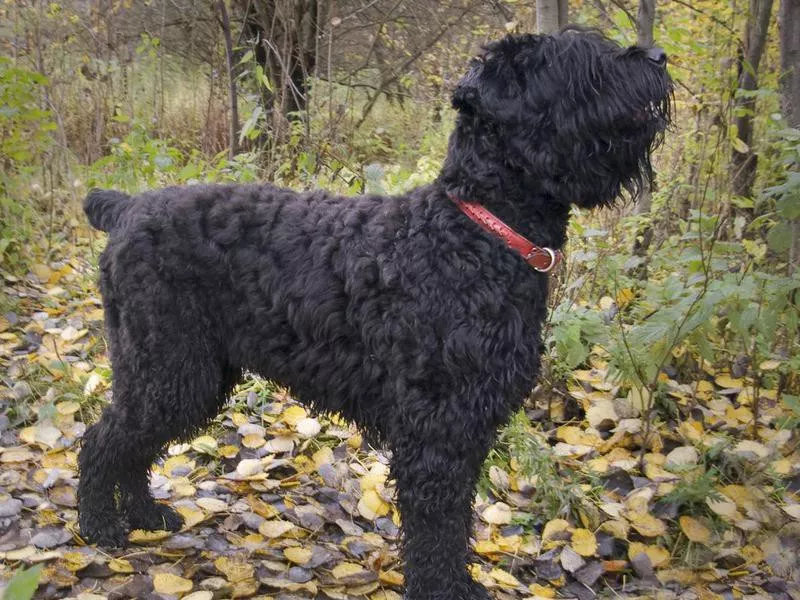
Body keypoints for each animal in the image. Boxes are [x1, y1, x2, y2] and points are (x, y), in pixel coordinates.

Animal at [79, 29, 668, 600]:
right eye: (582, 65)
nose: (659, 58)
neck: (474, 235)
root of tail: (126, 209)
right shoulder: (437, 433)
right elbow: (437, 529)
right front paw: (443, 590)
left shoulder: (469, 423)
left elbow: (456, 522)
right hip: (170, 368)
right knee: (102, 440)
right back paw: (99, 525)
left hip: (182, 374)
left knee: (132, 445)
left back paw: (145, 515)